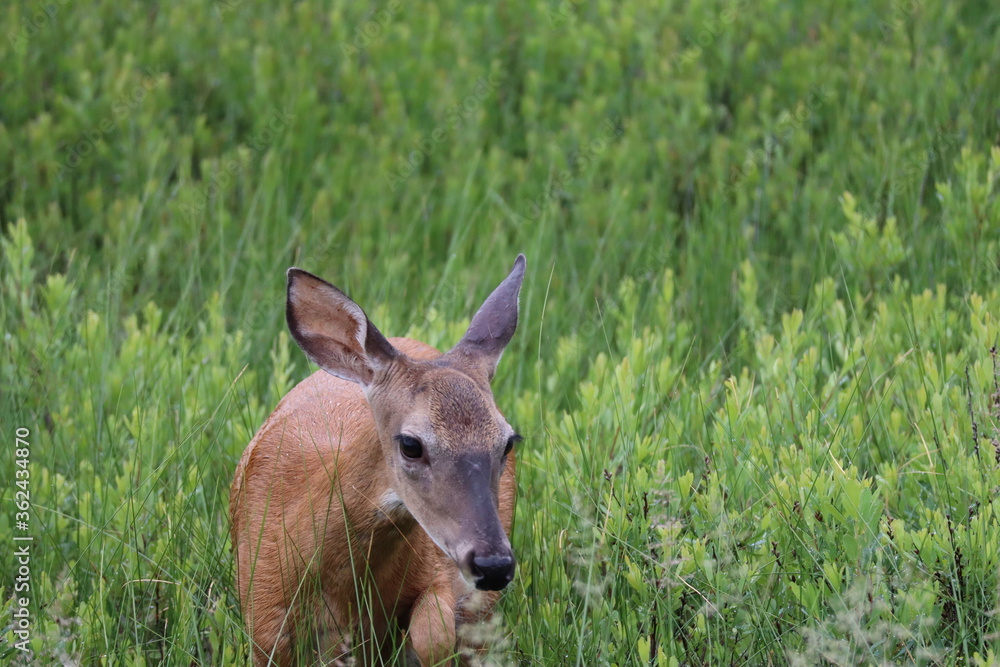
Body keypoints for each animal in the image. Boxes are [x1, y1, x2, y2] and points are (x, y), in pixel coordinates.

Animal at [230, 255, 526, 666]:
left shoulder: (439, 572)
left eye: (508, 442)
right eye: (411, 444)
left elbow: (432, 635)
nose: (493, 565)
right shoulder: (260, 612)